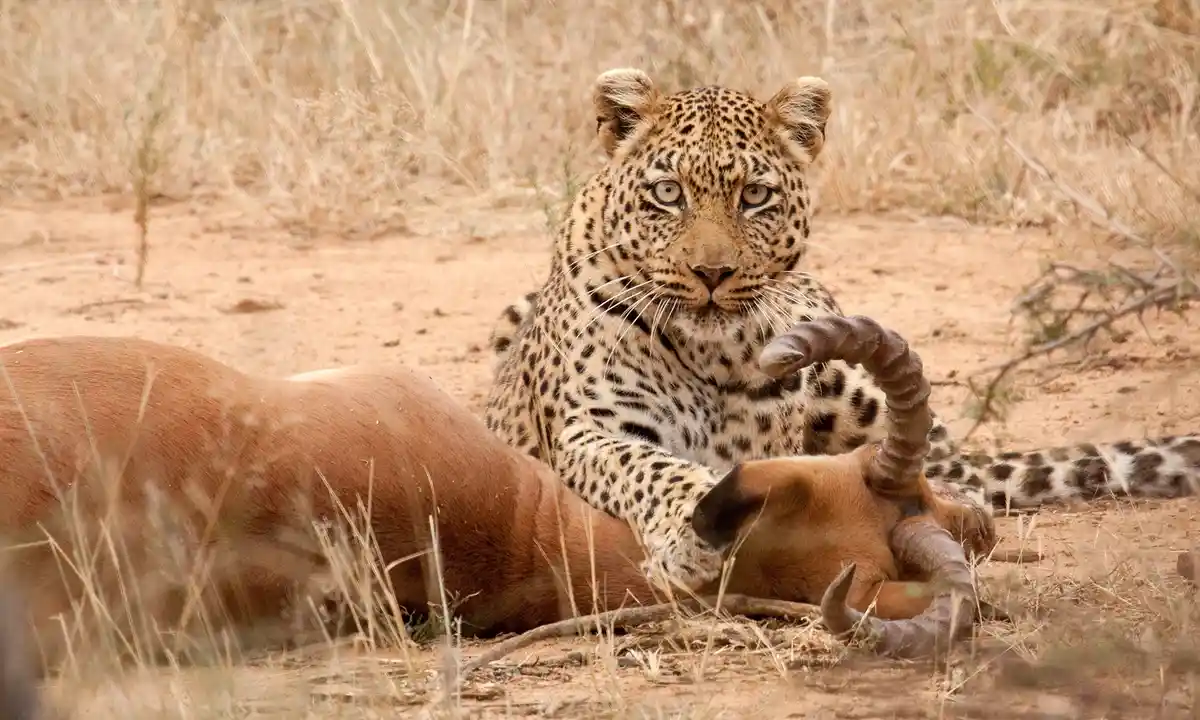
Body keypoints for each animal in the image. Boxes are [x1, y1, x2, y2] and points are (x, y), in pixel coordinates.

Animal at [483, 67, 1200, 591]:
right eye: (668, 194)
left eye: (755, 197)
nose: (711, 272)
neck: (707, 353)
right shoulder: (591, 428)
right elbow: (649, 467)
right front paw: (688, 538)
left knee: (939, 453)